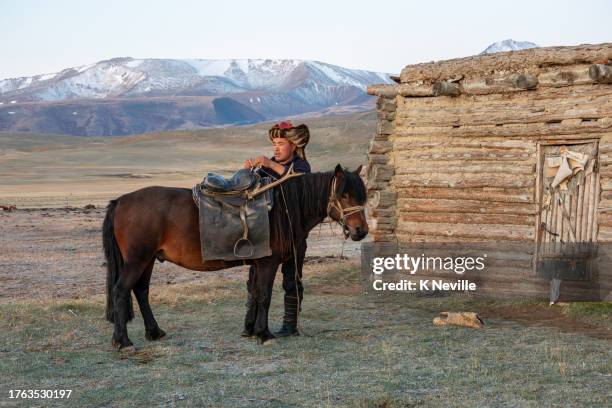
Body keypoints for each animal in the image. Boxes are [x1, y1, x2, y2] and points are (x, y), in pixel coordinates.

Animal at [103, 164, 368, 350]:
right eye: (344, 195)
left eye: (361, 195)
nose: (361, 230)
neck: (283, 209)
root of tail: (121, 201)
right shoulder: (268, 263)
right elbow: (264, 296)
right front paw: (264, 334)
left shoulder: (259, 264)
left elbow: (256, 294)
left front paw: (253, 330)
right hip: (137, 260)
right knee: (121, 290)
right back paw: (122, 341)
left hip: (148, 260)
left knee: (141, 291)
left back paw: (154, 332)